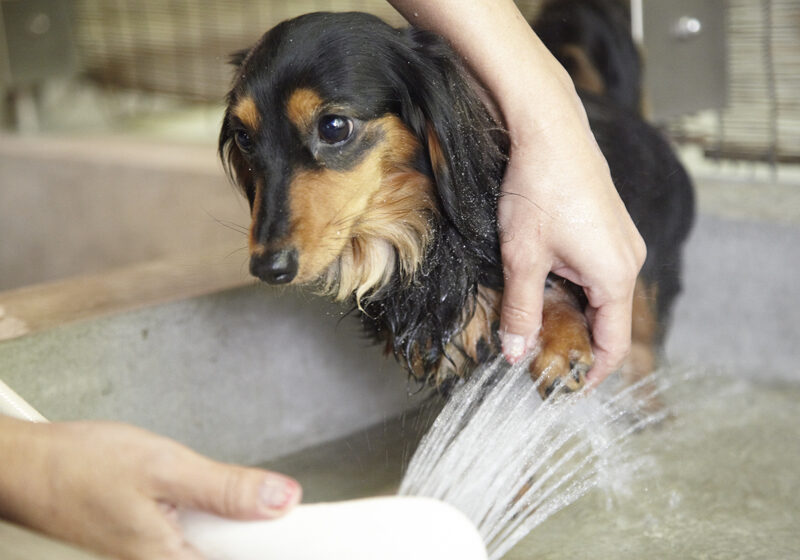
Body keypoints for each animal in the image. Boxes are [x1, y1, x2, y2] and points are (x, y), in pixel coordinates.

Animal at [220, 10, 692, 400]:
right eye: (244, 139)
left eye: (334, 127)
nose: (268, 267)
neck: (424, 237)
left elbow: (544, 281)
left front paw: (560, 341)